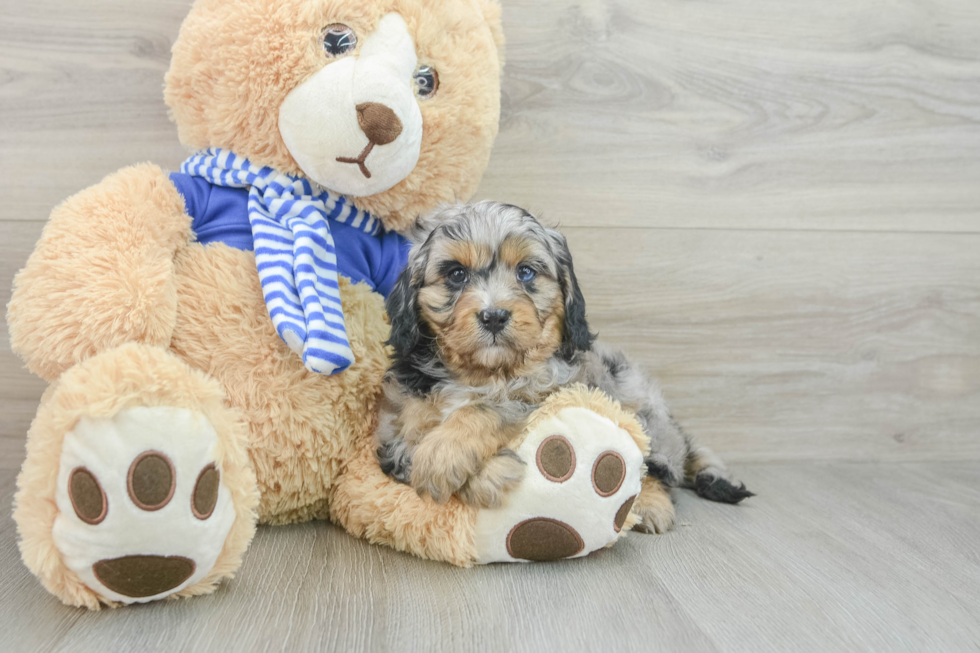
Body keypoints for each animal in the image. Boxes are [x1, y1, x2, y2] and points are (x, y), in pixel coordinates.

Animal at [376, 201, 752, 532]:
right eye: (456, 274)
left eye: (526, 272)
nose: (494, 316)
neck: (486, 374)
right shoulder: (393, 428)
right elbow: (408, 449)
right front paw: (486, 473)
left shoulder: (552, 394)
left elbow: (490, 407)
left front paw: (443, 454)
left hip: (638, 406)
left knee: (655, 468)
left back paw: (650, 505)